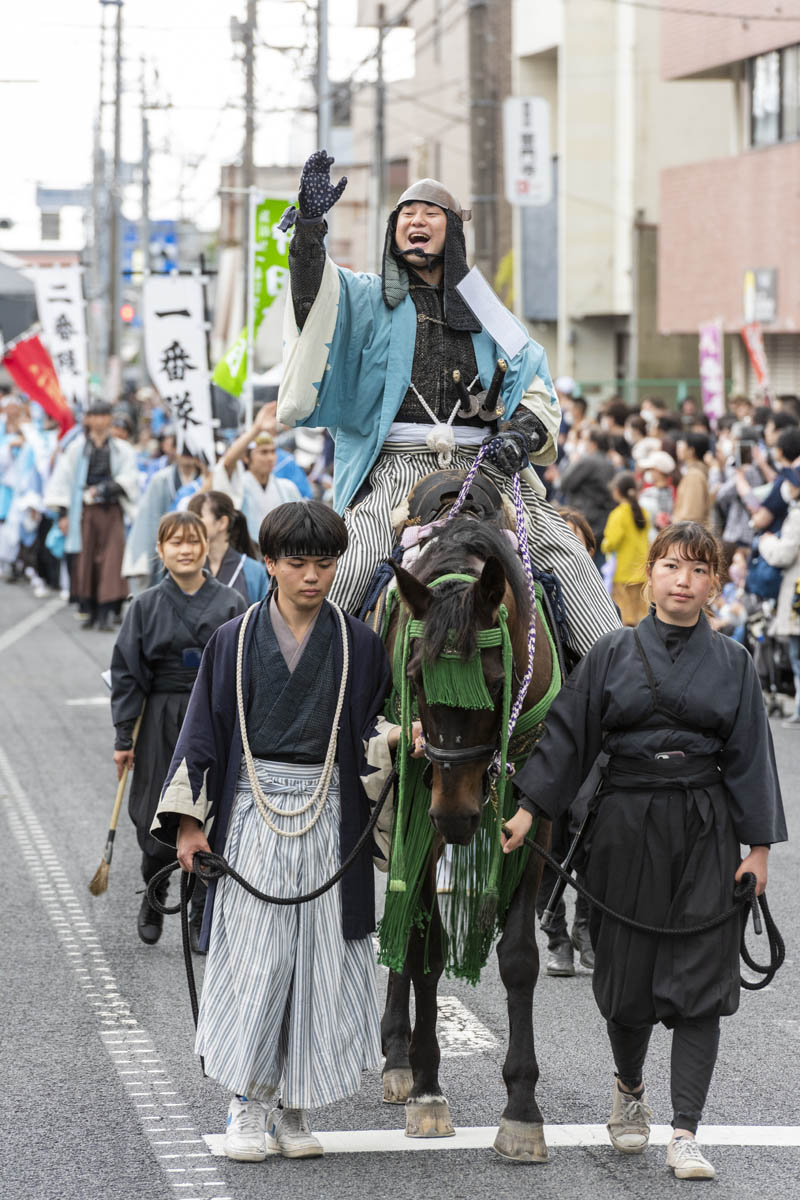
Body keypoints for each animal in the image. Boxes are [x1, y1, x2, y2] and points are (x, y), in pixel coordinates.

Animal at [381, 513, 556, 1161]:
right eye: (415, 680)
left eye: (497, 680)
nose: (458, 819)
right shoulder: (422, 804)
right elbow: (425, 949)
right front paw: (429, 1087)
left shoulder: (536, 812)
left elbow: (520, 958)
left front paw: (522, 1106)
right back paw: (400, 1057)